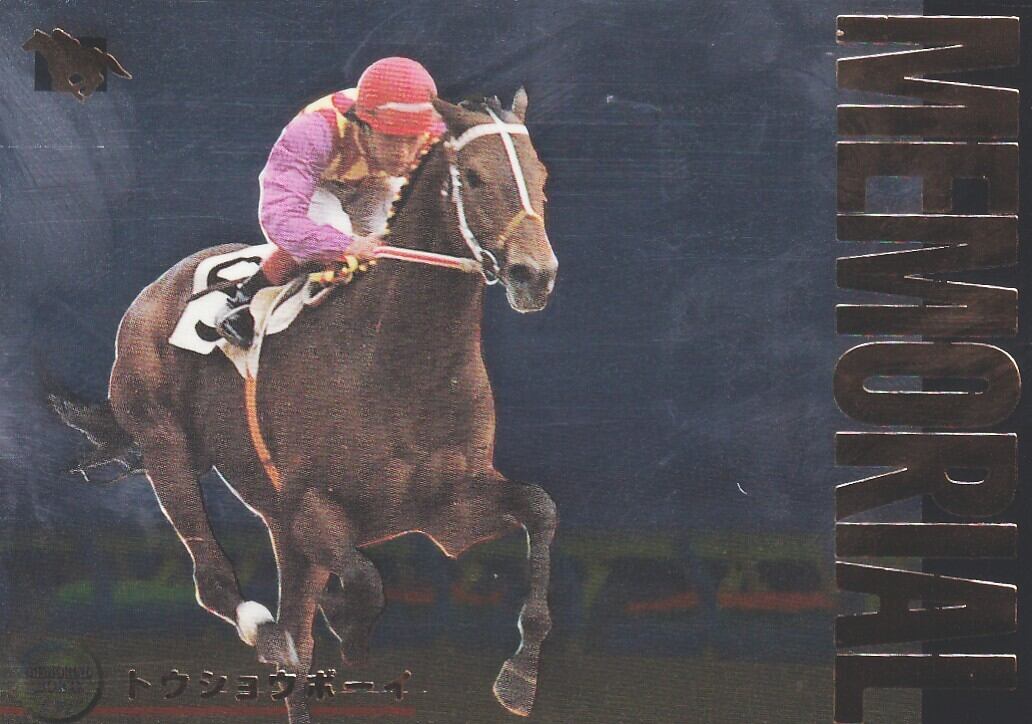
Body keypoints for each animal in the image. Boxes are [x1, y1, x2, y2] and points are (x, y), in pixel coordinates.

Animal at [53, 91, 558, 723]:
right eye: (473, 177)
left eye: (543, 176)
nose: (535, 275)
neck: (399, 364)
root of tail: (156, 288)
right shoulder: (310, 507)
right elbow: (365, 579)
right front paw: (348, 626)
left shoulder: (449, 511)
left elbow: (540, 509)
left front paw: (520, 677)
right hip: (165, 447)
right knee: (220, 585)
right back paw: (268, 632)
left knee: (292, 626)